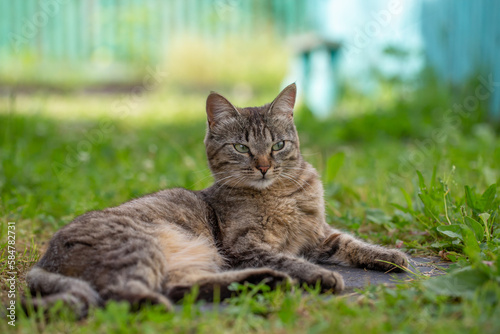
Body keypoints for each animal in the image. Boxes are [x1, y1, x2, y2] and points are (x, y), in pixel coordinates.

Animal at [25, 83, 408, 318]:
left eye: (278, 145)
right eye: (241, 147)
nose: (264, 166)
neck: (280, 194)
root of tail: (43, 261)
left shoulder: (319, 235)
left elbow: (352, 242)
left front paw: (389, 255)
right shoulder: (245, 246)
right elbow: (290, 260)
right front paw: (319, 275)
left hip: (191, 260)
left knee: (181, 288)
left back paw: (264, 282)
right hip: (138, 247)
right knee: (124, 295)